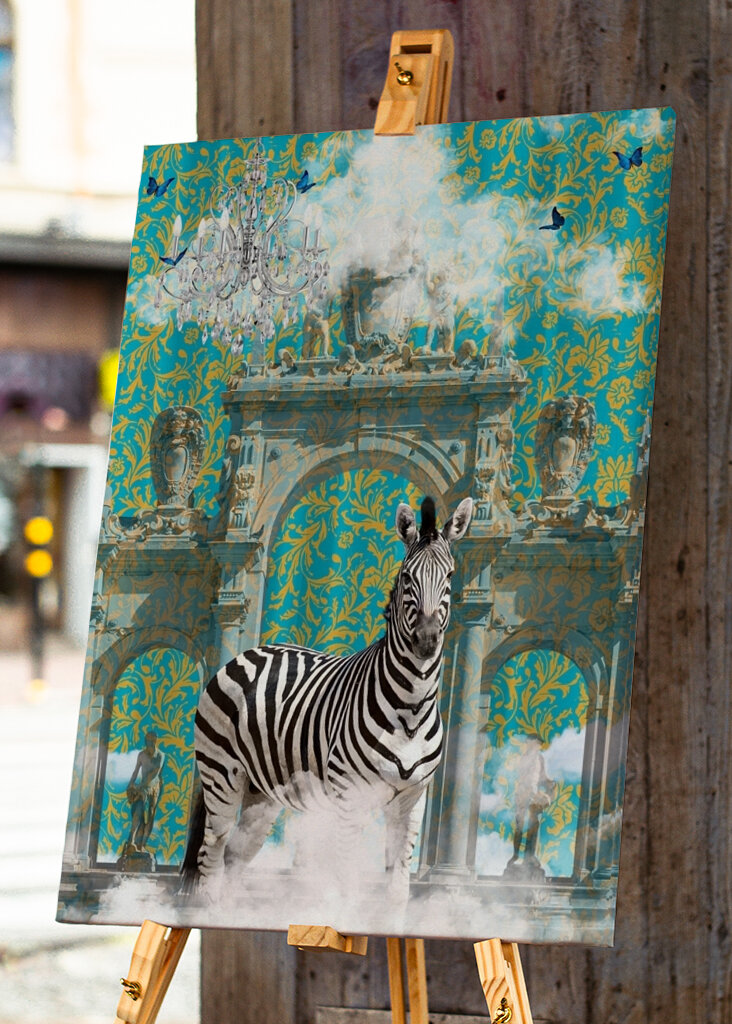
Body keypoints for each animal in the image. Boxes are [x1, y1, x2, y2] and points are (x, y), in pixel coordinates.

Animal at [182, 494, 473, 903]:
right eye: (406, 577)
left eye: (448, 577)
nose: (427, 641)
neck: (411, 708)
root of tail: (250, 652)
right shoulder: (349, 798)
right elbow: (346, 888)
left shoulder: (412, 799)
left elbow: (396, 891)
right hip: (221, 773)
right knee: (211, 859)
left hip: (261, 791)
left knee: (235, 858)